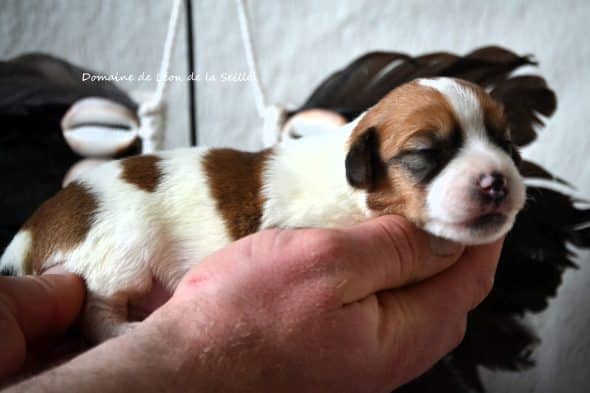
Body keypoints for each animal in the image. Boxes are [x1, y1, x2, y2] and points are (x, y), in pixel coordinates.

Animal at [0, 76, 528, 340]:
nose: (497, 182)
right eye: (426, 153)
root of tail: (32, 228)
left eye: (506, 145)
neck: (349, 186)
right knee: (96, 309)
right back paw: (123, 330)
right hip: (119, 252)